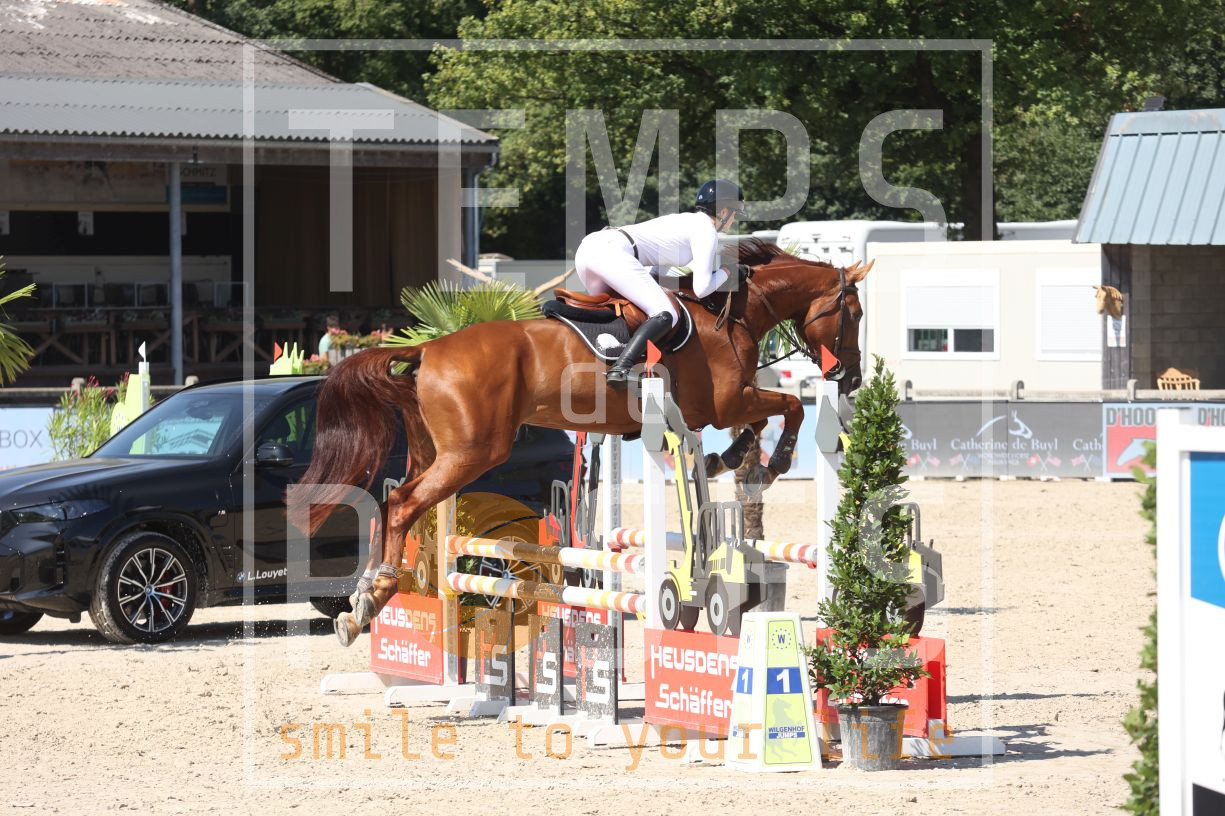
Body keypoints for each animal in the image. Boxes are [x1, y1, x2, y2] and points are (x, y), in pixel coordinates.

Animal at [298, 239, 871, 644]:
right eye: (856, 314)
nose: (852, 378)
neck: (730, 316)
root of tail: (427, 350)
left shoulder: (717, 410)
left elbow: (760, 422)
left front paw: (724, 458)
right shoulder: (728, 402)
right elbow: (789, 406)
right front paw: (774, 462)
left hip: (435, 451)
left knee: (393, 502)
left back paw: (360, 600)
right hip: (471, 453)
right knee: (401, 502)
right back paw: (375, 595)